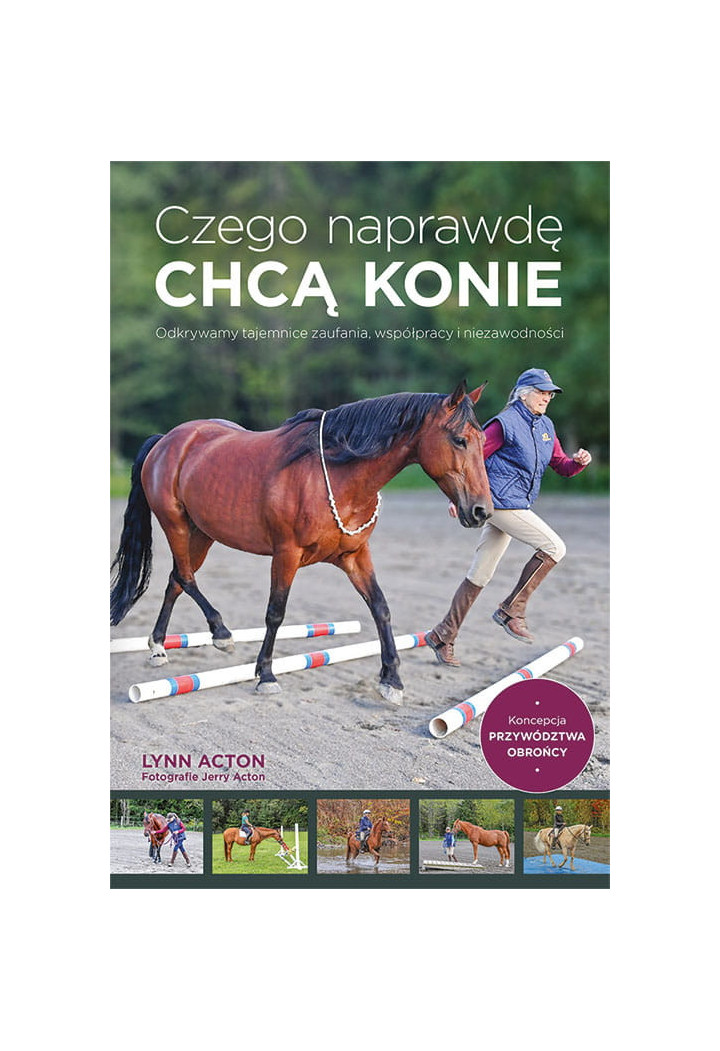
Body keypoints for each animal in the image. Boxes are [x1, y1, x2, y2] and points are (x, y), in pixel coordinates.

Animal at [110, 382, 493, 704]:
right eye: (459, 439)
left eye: (481, 438)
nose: (481, 510)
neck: (338, 473)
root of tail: (167, 440)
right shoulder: (286, 554)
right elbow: (275, 613)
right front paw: (265, 675)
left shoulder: (355, 555)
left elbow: (380, 608)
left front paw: (392, 680)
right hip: (175, 524)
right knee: (186, 577)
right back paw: (220, 633)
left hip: (203, 533)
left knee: (176, 579)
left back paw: (159, 647)